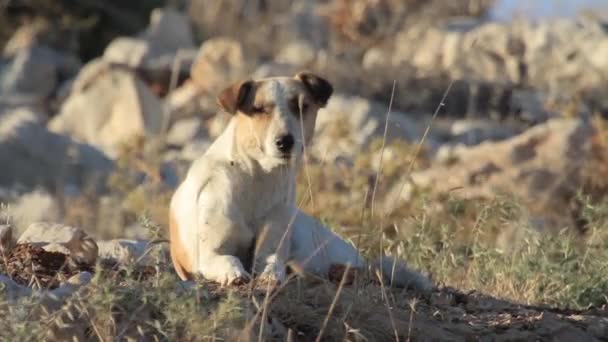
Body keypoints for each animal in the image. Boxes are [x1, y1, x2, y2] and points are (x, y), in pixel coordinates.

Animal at [166, 71, 432, 292]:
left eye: (302, 107)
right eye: (259, 109)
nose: (285, 141)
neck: (256, 180)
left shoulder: (273, 243)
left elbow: (272, 262)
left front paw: (271, 275)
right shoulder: (207, 255)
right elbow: (228, 258)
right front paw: (234, 273)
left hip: (307, 242)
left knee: (362, 269)